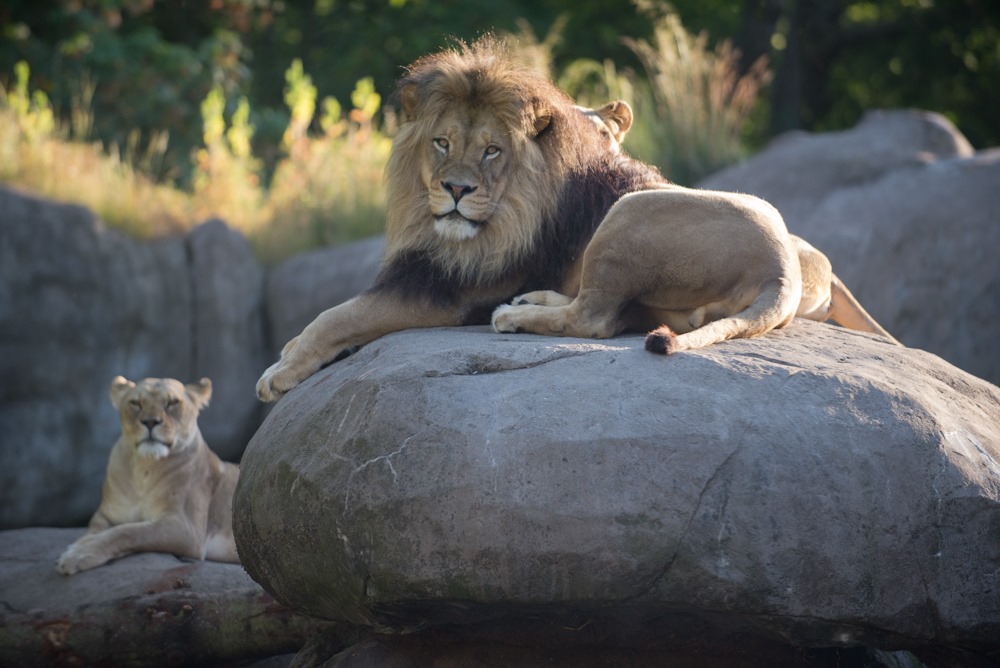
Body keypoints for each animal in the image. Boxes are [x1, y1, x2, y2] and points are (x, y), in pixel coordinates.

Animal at [56, 376, 240, 576]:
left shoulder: (187, 528)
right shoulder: (107, 514)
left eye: (172, 402)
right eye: (135, 403)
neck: (145, 469)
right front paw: (81, 544)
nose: (150, 422)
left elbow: (131, 532)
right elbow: (96, 530)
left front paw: (78, 554)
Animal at [258, 36, 804, 402]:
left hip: (629, 211)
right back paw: (531, 299)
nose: (457, 190)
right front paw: (288, 352)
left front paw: (278, 373)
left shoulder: (449, 290)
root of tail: (781, 272)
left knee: (594, 319)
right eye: (442, 143)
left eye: (492, 151)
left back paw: (512, 316)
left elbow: (337, 316)